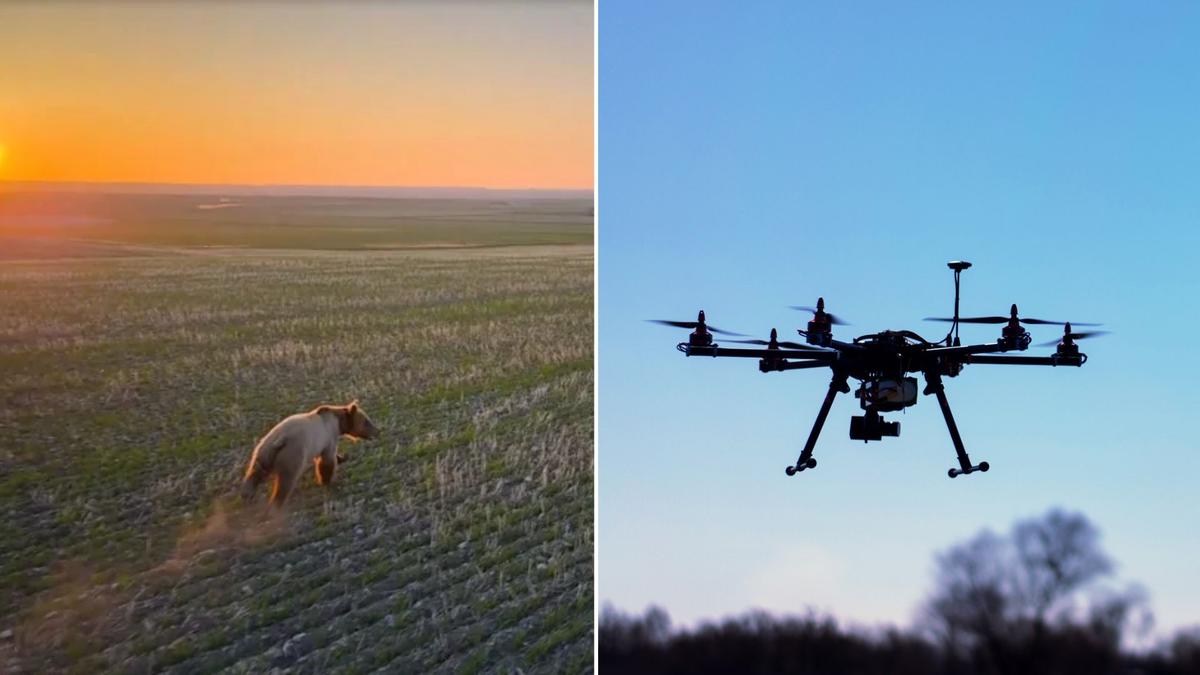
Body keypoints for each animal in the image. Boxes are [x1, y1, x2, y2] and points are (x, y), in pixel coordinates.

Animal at [241, 401, 380, 506]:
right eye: (367, 421)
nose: (377, 431)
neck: (338, 422)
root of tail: (279, 440)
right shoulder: (328, 436)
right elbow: (327, 460)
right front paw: (326, 480)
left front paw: (342, 457)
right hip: (292, 454)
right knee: (286, 479)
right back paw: (277, 501)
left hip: (263, 454)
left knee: (254, 474)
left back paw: (247, 495)